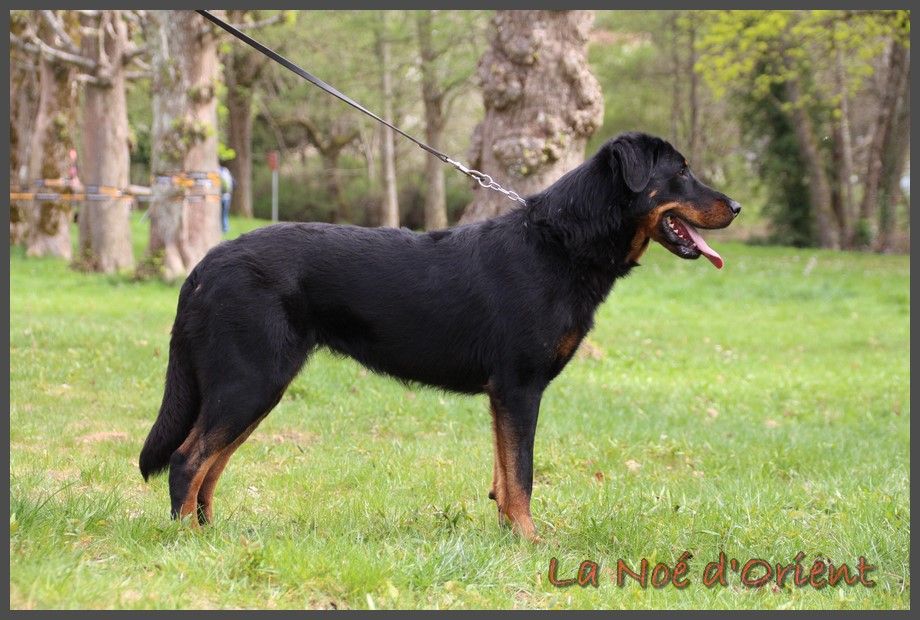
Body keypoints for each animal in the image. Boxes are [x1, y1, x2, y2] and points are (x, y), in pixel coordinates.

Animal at [139, 132, 740, 540]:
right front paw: (530, 541)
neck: (560, 243)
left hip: (252, 387)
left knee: (211, 464)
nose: (735, 205)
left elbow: (504, 474)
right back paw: (188, 541)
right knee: (189, 460)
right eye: (682, 172)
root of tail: (204, 265)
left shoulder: (504, 395)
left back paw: (212, 536)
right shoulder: (520, 388)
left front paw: (508, 536)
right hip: (250, 381)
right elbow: (522, 474)